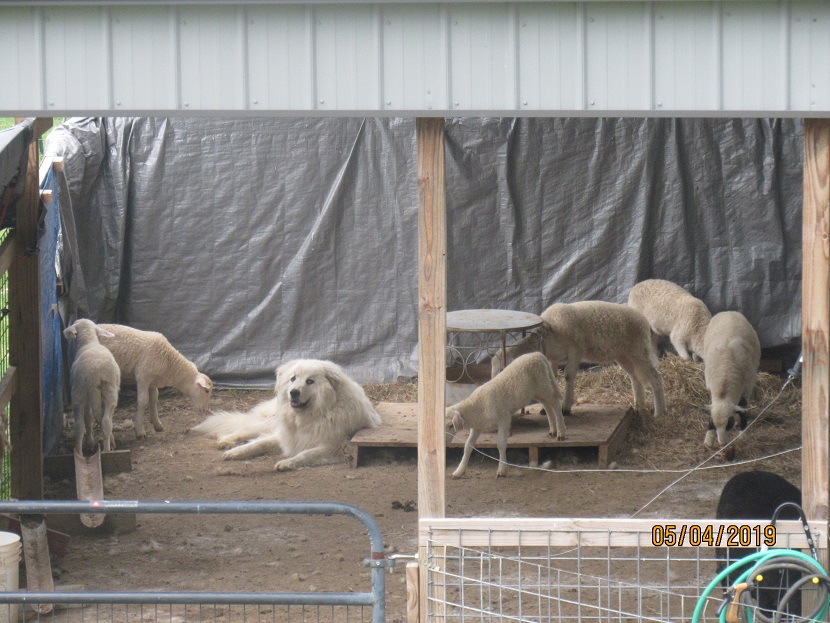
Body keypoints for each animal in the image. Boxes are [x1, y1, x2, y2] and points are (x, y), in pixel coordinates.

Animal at [64, 320, 121, 456]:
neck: (89, 341)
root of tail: (93, 373)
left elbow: (88, 417)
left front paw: (90, 442)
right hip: (108, 391)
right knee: (105, 421)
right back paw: (106, 449)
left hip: (78, 392)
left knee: (79, 425)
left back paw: (79, 453)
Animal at [192, 358, 384, 470]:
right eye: (293, 379)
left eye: (310, 381)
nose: (293, 392)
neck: (312, 415)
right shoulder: (286, 436)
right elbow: (258, 443)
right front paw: (237, 452)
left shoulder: (334, 447)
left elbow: (305, 454)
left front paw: (287, 463)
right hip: (271, 422)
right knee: (246, 429)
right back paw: (227, 442)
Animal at [490, 304, 668, 420]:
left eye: (502, 370)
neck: (549, 331)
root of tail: (643, 320)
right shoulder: (553, 358)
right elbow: (553, 379)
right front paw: (547, 409)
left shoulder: (575, 351)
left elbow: (569, 377)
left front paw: (566, 407)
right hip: (623, 355)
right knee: (635, 377)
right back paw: (639, 405)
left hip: (639, 350)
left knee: (655, 376)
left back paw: (659, 412)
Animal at [704, 312, 760, 448]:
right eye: (713, 424)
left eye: (729, 423)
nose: (722, 444)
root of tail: (729, 312)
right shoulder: (710, 387)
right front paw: (709, 438)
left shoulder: (746, 389)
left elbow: (743, 410)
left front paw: (742, 434)